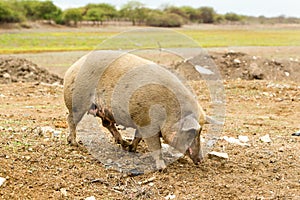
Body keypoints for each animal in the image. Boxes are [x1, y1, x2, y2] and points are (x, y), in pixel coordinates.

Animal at [63, 50, 207, 170]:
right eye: (193, 132)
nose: (201, 159)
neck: (169, 112)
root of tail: (72, 68)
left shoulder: (140, 120)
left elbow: (138, 136)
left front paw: (131, 149)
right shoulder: (148, 124)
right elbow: (155, 146)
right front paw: (163, 168)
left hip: (103, 111)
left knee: (107, 124)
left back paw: (123, 143)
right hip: (77, 102)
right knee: (71, 119)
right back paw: (74, 143)